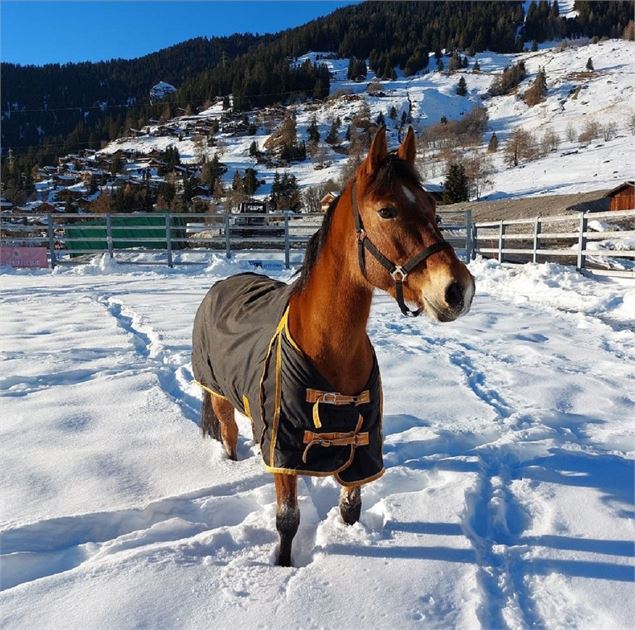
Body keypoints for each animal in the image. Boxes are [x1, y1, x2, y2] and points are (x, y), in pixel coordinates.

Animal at [191, 127, 474, 568]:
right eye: (387, 211)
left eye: (432, 205)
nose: (458, 290)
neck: (331, 352)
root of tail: (224, 282)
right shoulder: (285, 451)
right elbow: (287, 520)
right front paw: (283, 566)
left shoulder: (363, 450)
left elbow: (351, 508)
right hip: (220, 397)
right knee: (228, 434)